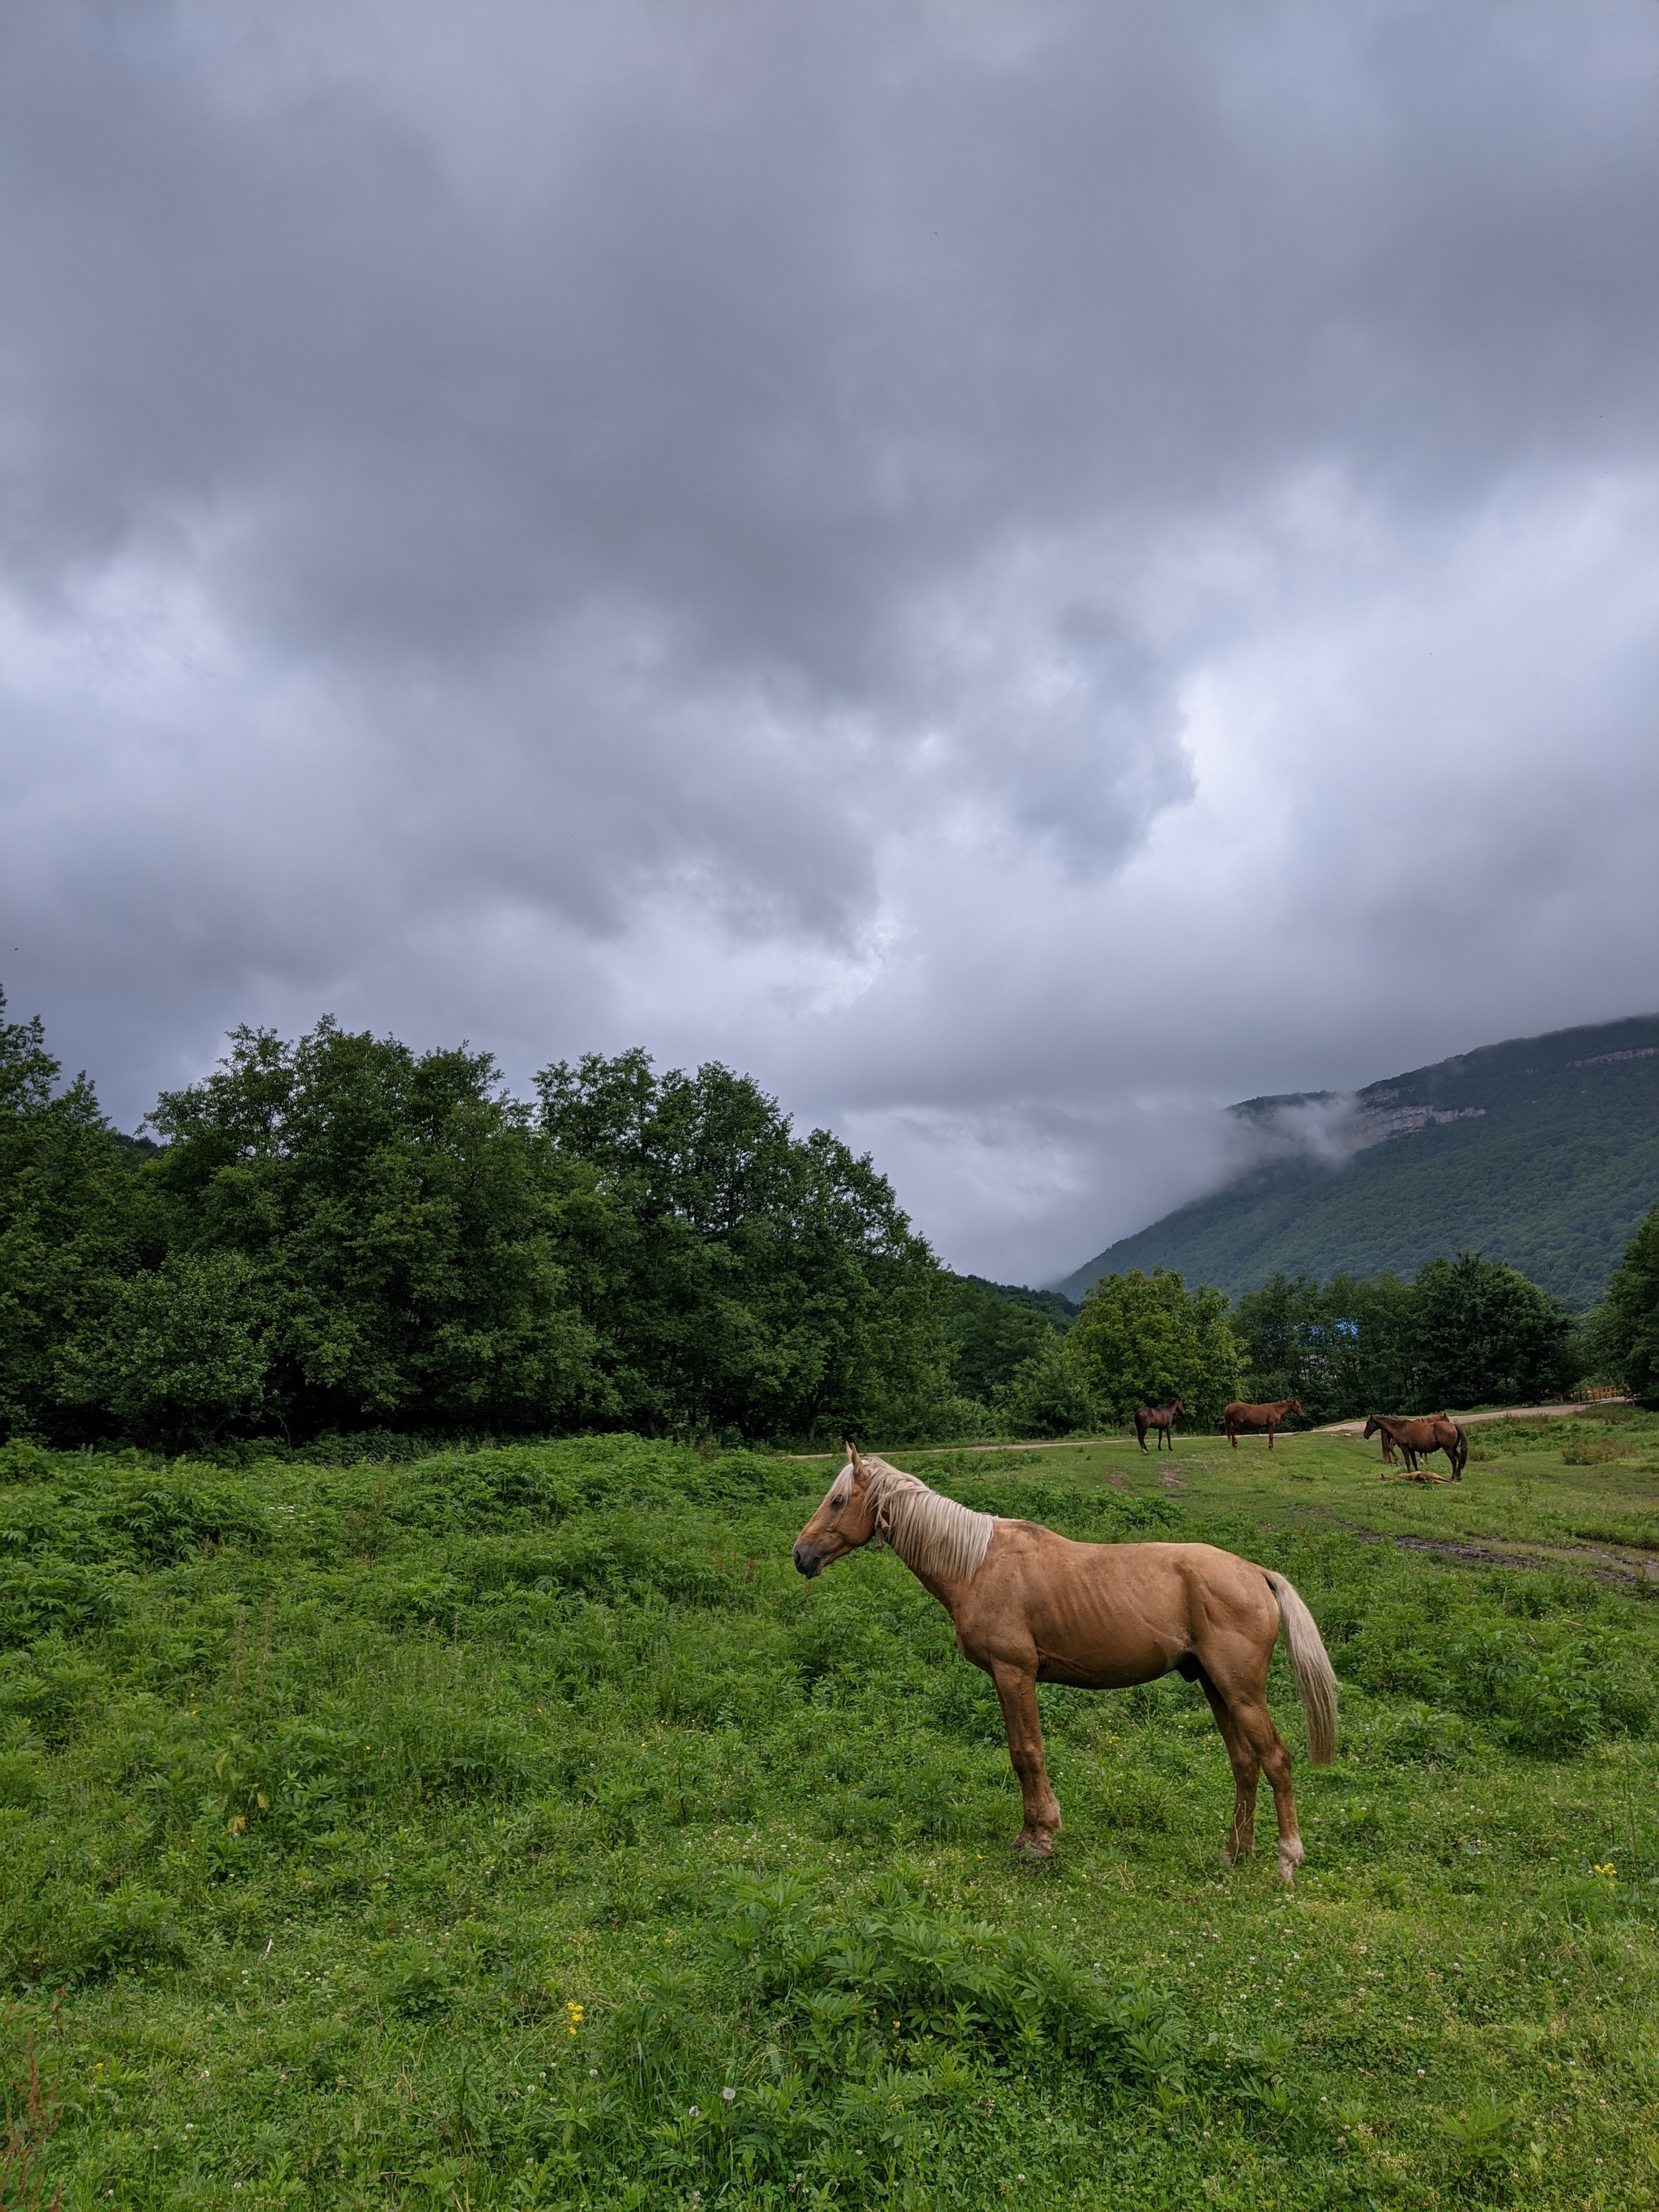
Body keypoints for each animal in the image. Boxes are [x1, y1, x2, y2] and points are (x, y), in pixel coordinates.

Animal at [791, 1451, 1336, 1884]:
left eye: (837, 1501)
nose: (801, 1555)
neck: (978, 1564)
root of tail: (1255, 1573)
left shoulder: (1014, 1674)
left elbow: (1028, 1753)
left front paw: (1041, 1839)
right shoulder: (1005, 1679)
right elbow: (1019, 1753)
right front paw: (1028, 1834)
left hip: (1241, 1692)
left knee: (1276, 1761)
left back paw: (1287, 1860)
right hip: (1215, 1687)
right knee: (1244, 1764)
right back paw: (1234, 1854)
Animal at [1363, 1415, 1469, 1486]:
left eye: (1368, 1423)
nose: (1365, 1435)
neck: (1398, 1427)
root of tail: (1454, 1426)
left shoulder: (1404, 1448)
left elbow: (1407, 1461)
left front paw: (1406, 1471)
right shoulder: (1411, 1450)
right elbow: (1414, 1462)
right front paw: (1417, 1473)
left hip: (1448, 1449)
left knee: (1454, 1460)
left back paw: (1453, 1476)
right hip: (1453, 1449)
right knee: (1459, 1458)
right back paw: (1459, 1476)